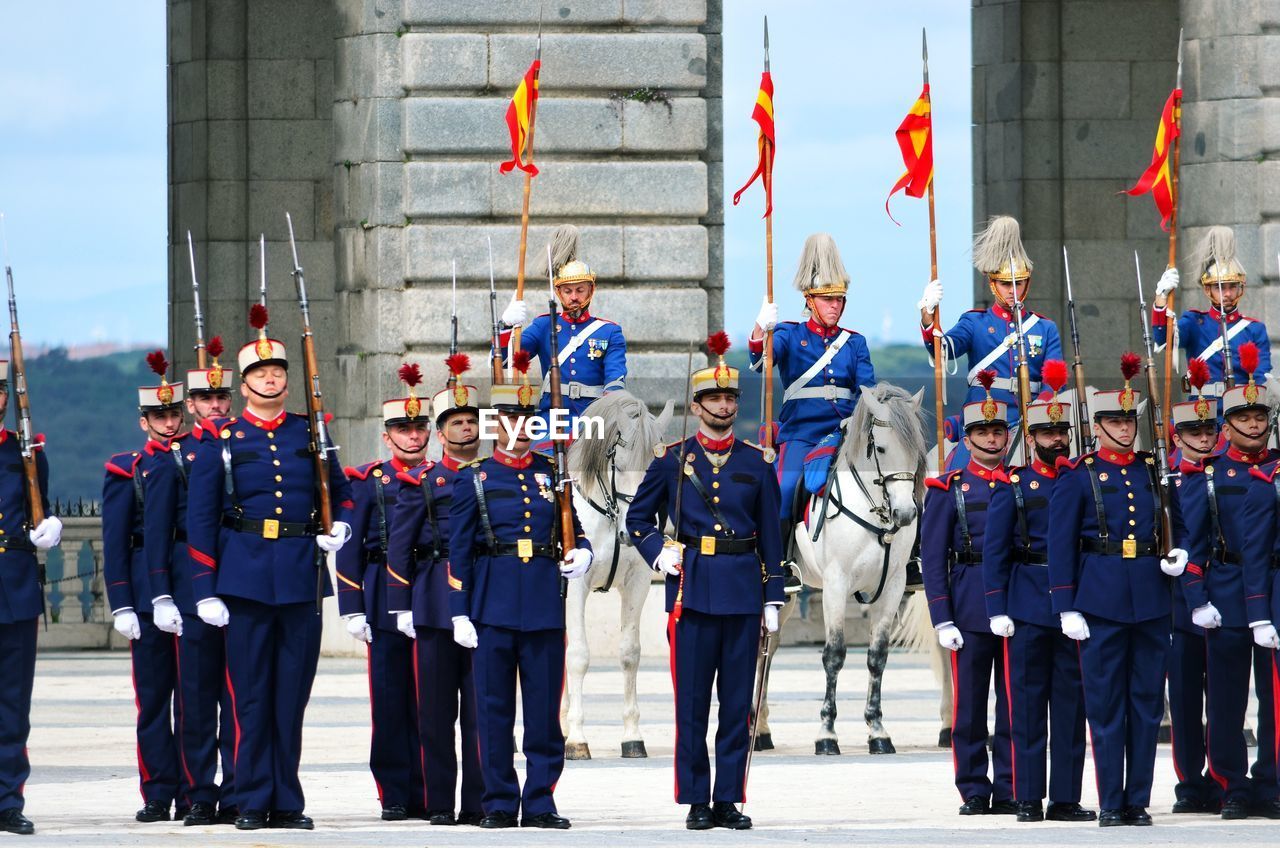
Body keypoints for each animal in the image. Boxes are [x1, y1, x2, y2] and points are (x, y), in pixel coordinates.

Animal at [563, 391, 675, 763]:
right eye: (621, 466)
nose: (632, 531)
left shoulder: (638, 582)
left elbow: (629, 653)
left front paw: (632, 736)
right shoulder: (575, 585)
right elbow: (579, 656)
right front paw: (577, 738)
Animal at [752, 384, 926, 758]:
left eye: (916, 449)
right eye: (880, 448)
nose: (906, 514)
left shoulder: (893, 586)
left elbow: (877, 656)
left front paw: (877, 731)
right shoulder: (835, 584)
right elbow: (834, 654)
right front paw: (827, 734)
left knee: (769, 648)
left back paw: (759, 730)